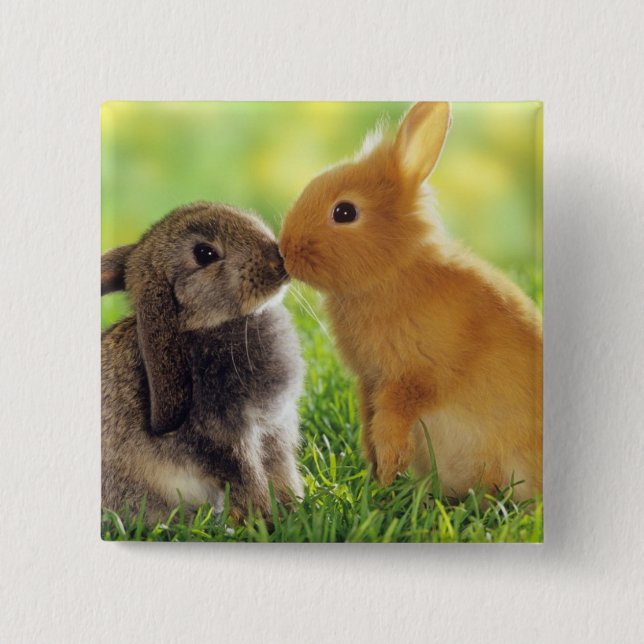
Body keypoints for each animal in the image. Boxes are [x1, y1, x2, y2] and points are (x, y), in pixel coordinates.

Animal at [101, 201, 304, 522]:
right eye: (204, 254)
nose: (278, 261)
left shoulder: (275, 428)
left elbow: (281, 471)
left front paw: (295, 511)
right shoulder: (223, 438)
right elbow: (247, 477)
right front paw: (266, 519)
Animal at [279, 102, 542, 501]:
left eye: (344, 212)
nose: (284, 251)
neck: (392, 272)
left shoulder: (413, 377)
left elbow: (392, 421)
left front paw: (388, 472)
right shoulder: (369, 381)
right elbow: (369, 421)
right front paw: (376, 474)